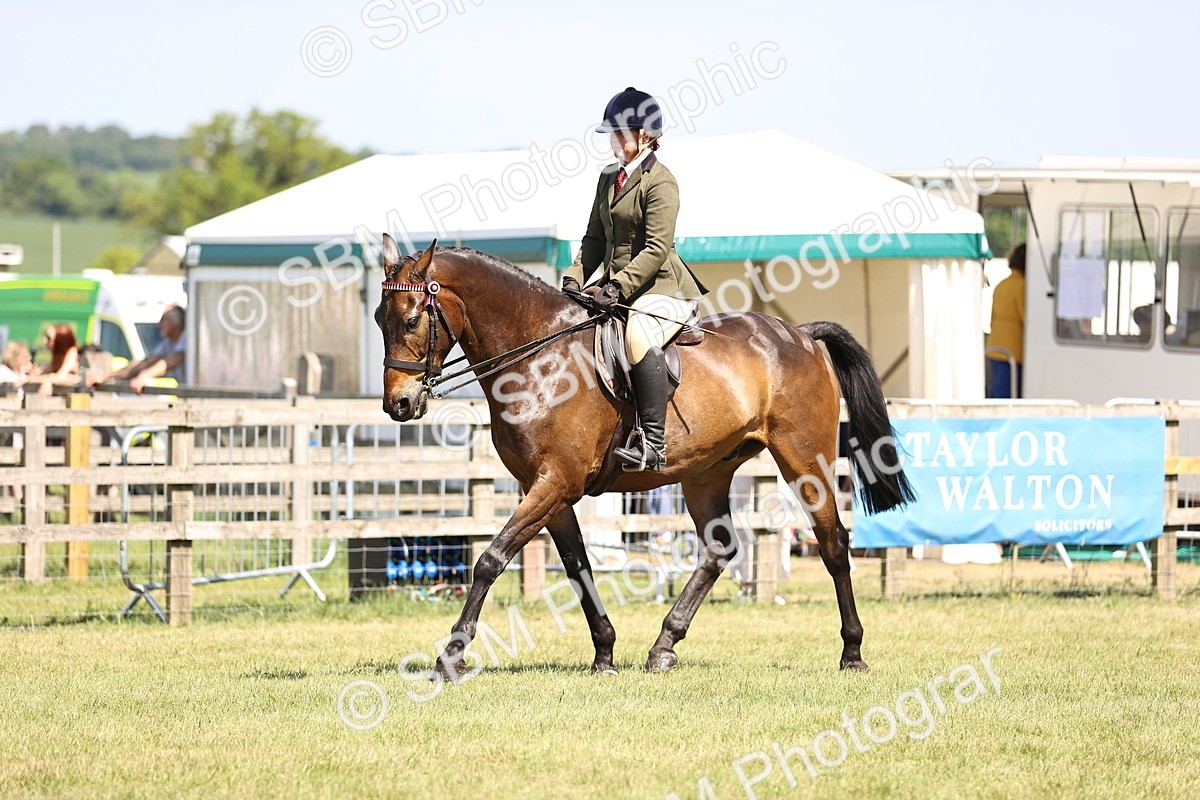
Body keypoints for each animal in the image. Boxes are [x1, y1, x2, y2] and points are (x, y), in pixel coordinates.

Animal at [374, 234, 914, 679]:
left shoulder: (555, 482)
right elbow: (578, 565)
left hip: (806, 461)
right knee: (720, 550)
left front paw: (451, 656)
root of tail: (801, 334)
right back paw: (663, 647)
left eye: (412, 319)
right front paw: (605, 653)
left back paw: (852, 652)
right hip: (707, 473)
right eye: (380, 320)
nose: (398, 405)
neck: (539, 359)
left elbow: (490, 559)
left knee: (833, 543)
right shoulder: (546, 487)